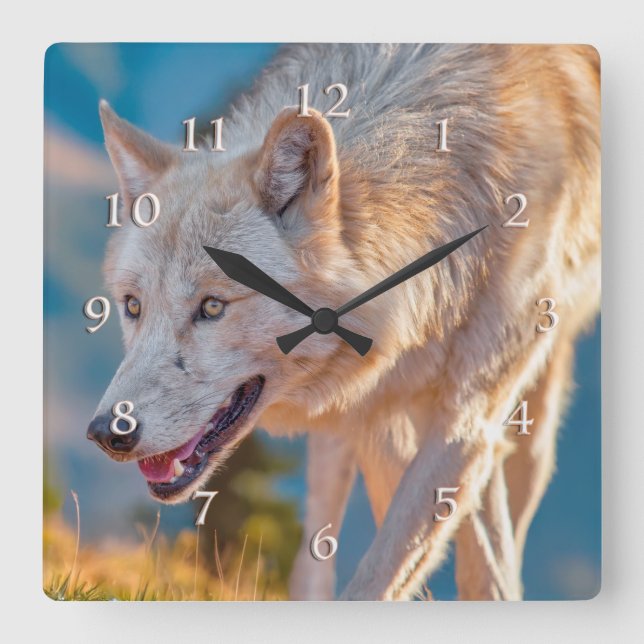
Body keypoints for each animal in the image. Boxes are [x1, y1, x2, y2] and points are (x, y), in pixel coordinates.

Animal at [87, 44, 600, 600]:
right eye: (133, 306)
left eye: (213, 307)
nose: (107, 432)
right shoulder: (381, 408)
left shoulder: (468, 420)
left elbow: (420, 564)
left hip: (533, 431)